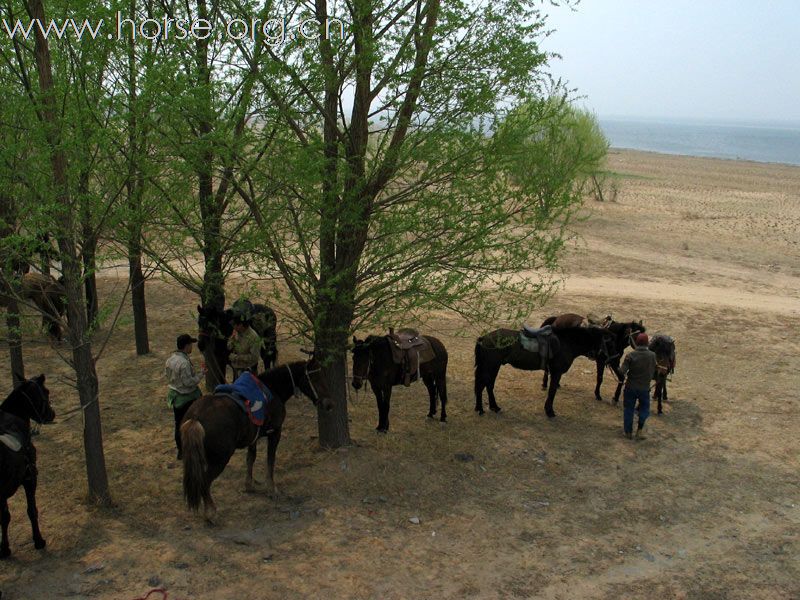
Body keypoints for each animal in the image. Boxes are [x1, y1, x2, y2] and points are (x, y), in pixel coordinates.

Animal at [0, 372, 55, 560]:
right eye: (46, 391)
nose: (52, 414)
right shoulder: (30, 477)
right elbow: (31, 510)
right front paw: (39, 541)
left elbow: (4, 517)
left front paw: (4, 549)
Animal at [180, 358, 332, 524]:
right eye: (315, 378)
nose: (329, 404)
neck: (273, 390)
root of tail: (195, 418)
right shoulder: (275, 433)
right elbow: (270, 460)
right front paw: (272, 489)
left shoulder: (253, 437)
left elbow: (250, 459)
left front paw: (249, 485)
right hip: (220, 459)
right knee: (205, 482)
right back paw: (211, 514)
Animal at [476, 326, 620, 420]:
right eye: (611, 345)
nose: (616, 359)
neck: (566, 343)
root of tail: (484, 338)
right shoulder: (556, 373)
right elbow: (552, 391)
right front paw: (550, 411)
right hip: (491, 366)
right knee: (484, 385)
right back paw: (482, 408)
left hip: (492, 367)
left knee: (487, 386)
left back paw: (492, 407)